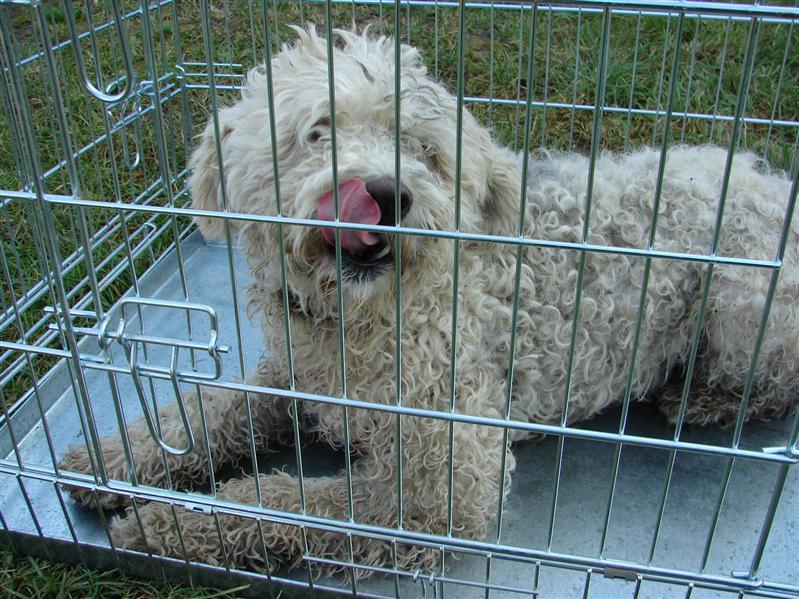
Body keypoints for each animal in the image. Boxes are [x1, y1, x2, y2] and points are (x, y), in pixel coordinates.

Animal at [62, 27, 799, 576]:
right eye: (318, 131)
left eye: (424, 151)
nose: (385, 193)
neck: (359, 320)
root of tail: (772, 179)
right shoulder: (293, 374)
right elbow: (207, 409)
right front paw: (113, 455)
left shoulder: (442, 486)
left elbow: (287, 502)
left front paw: (170, 523)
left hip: (745, 303)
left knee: (773, 386)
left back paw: (702, 398)